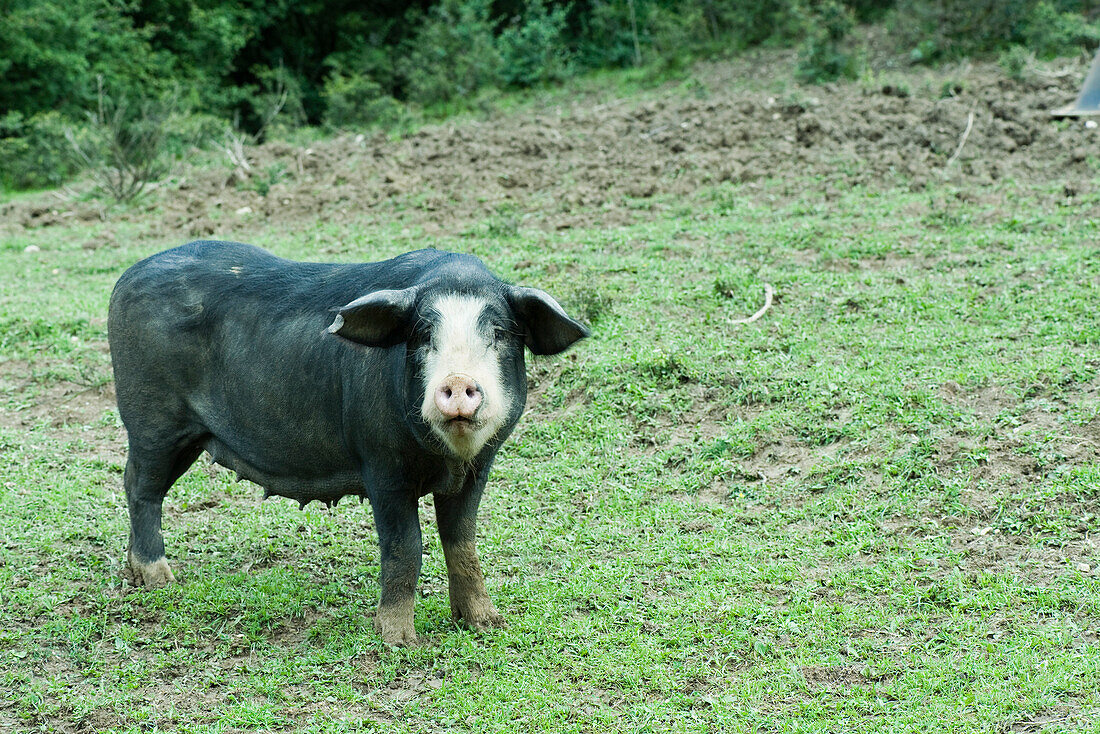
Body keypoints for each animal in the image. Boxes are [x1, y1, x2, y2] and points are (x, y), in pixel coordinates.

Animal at [108, 240, 589, 642]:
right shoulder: (380, 462)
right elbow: (405, 547)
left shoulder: (478, 468)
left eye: (500, 334)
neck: (445, 459)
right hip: (153, 421)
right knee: (140, 488)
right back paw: (160, 580)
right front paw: (399, 640)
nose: (456, 381)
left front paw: (487, 624)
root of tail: (128, 275)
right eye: (422, 336)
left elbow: (463, 542)